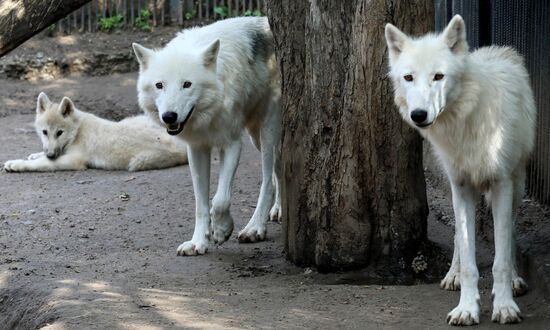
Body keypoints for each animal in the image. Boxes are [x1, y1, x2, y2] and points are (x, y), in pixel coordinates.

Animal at [2, 91, 190, 171]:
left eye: (59, 133)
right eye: (44, 132)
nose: (50, 154)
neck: (77, 131)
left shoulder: (73, 161)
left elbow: (40, 163)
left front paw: (16, 164)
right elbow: (39, 156)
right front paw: (34, 155)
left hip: (137, 162)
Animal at [133, 16, 280, 256]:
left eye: (187, 84)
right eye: (159, 85)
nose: (169, 117)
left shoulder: (232, 144)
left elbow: (220, 199)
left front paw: (222, 230)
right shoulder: (197, 148)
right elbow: (201, 204)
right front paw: (198, 242)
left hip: (267, 130)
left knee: (268, 180)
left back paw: (255, 227)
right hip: (256, 137)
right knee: (280, 170)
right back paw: (278, 210)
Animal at [386, 14, 536, 324]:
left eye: (438, 77)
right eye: (408, 77)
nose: (419, 115)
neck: (463, 122)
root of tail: (498, 49)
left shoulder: (502, 184)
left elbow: (501, 257)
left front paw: (505, 305)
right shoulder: (461, 185)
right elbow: (468, 257)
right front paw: (466, 307)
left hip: (517, 185)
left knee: (511, 233)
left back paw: (515, 279)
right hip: (453, 184)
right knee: (458, 234)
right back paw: (452, 274)